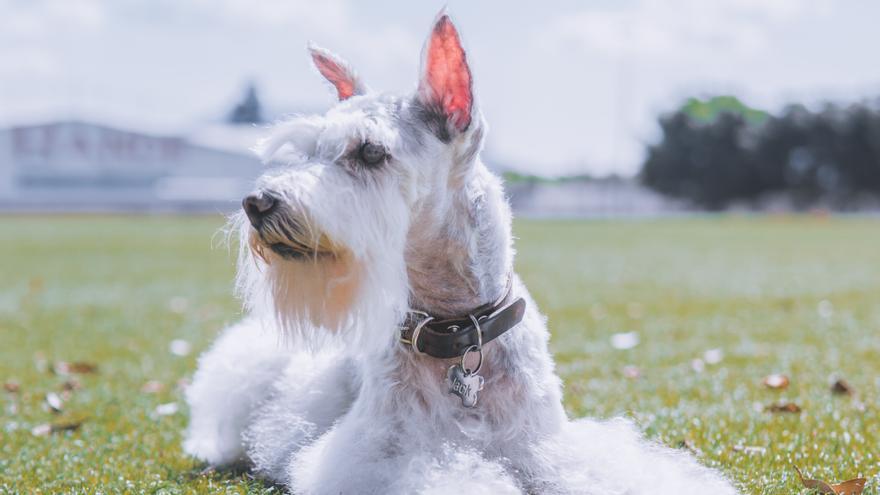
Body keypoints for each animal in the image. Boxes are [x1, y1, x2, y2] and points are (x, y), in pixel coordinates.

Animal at [182, 11, 740, 495]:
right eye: (306, 149)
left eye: (370, 151)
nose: (258, 203)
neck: (457, 329)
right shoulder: (384, 457)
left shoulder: (548, 444)